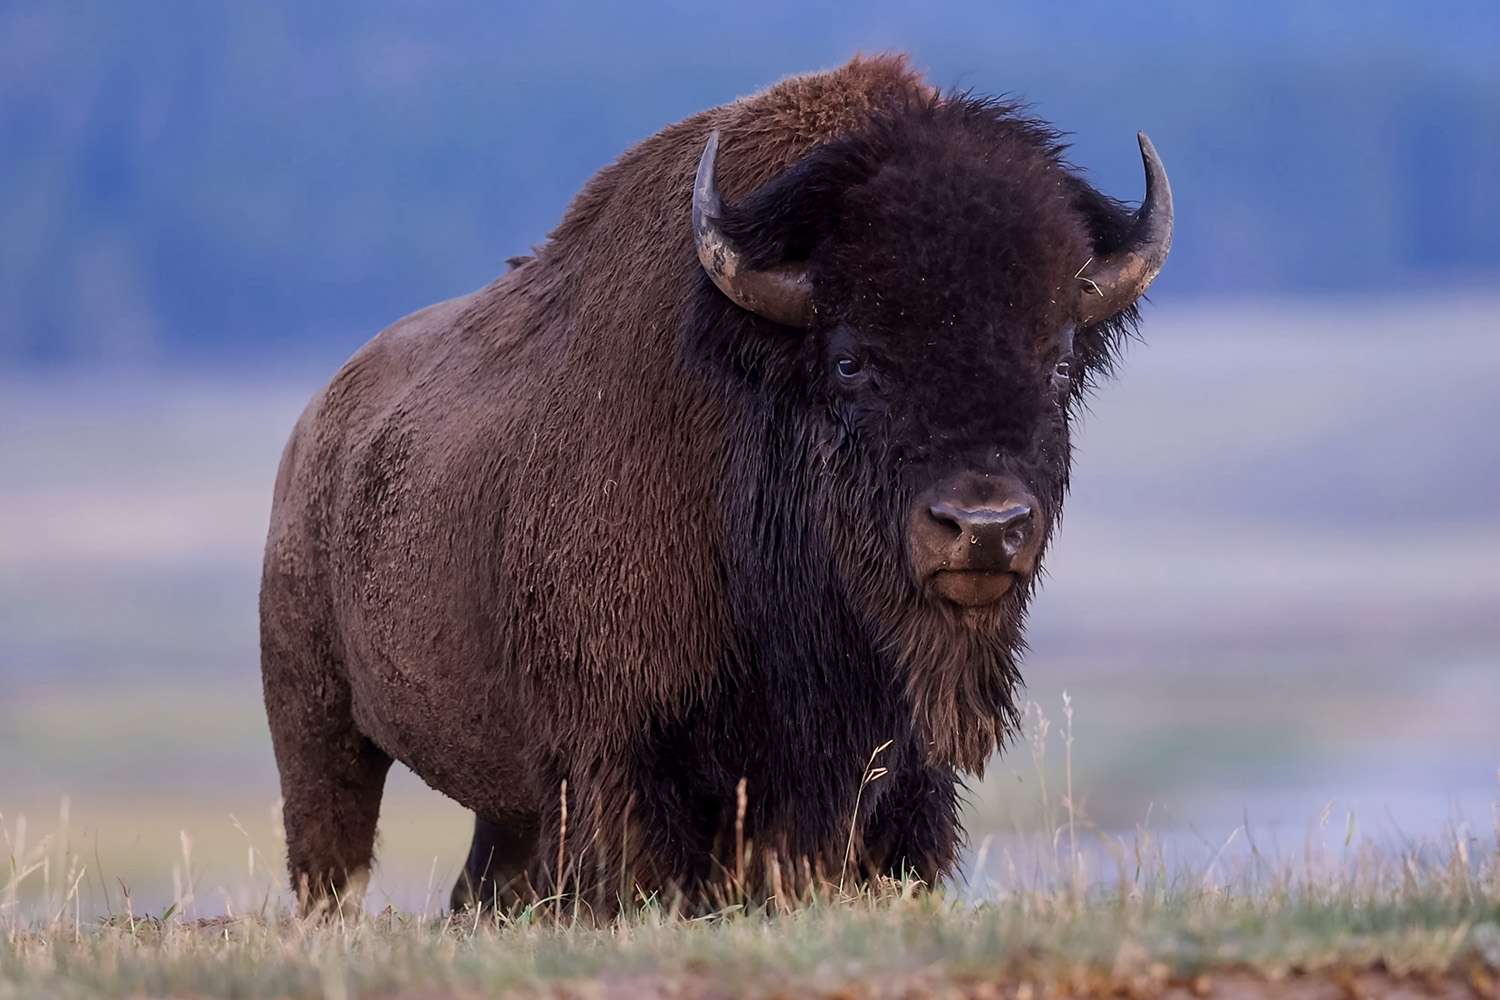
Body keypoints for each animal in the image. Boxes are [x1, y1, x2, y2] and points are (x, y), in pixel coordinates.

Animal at [259, 54, 1172, 914]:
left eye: (1060, 364)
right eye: (850, 360)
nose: (983, 526)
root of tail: (312, 430)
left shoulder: (898, 784)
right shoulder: (624, 768)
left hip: (502, 809)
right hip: (318, 729)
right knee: (331, 859)